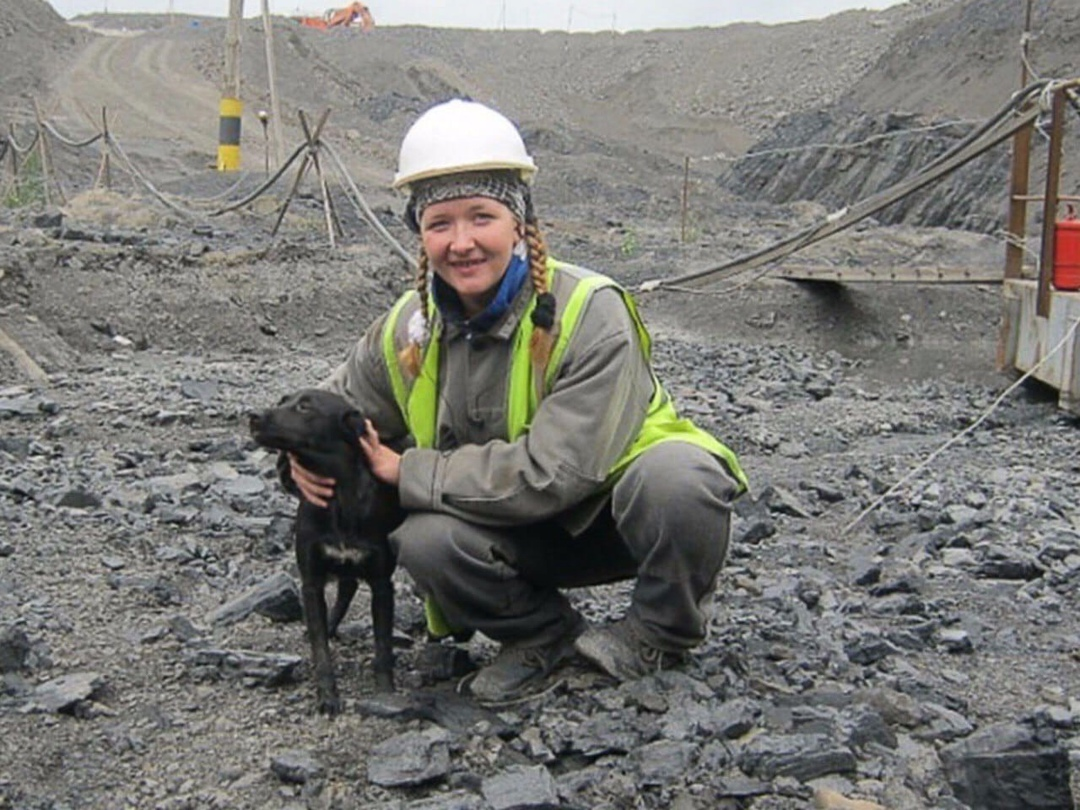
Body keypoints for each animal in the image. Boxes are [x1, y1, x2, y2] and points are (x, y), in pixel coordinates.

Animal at [247, 390, 403, 712]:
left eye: (305, 406)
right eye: (282, 400)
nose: (253, 415)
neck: (339, 498)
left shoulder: (382, 584)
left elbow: (382, 644)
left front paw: (385, 692)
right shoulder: (311, 581)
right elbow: (320, 650)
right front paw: (328, 696)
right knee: (345, 591)